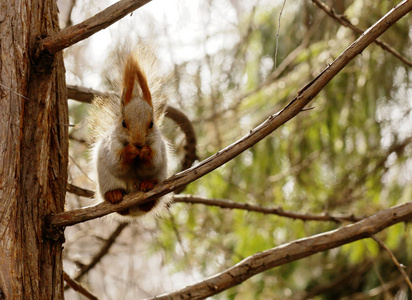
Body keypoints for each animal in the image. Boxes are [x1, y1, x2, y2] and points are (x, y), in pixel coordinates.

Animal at [88, 47, 172, 220]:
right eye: (123, 123)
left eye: (151, 124)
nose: (138, 142)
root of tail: (134, 212)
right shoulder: (111, 146)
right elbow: (116, 162)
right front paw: (130, 151)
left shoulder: (158, 145)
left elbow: (153, 162)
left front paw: (145, 152)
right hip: (107, 181)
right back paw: (114, 194)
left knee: (149, 203)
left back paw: (148, 186)